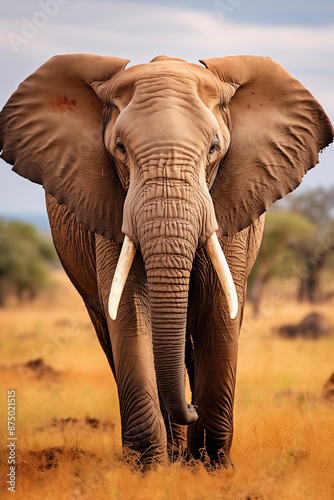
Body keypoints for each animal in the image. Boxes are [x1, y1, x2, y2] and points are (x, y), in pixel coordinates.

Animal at [0, 52, 332, 466]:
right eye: (120, 148)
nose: (190, 408)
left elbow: (218, 308)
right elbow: (128, 310)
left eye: (214, 148)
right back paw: (171, 452)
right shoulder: (108, 206)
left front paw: (210, 466)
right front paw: (148, 467)